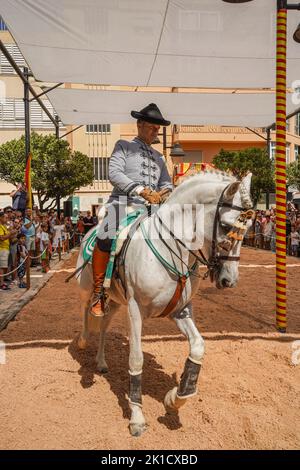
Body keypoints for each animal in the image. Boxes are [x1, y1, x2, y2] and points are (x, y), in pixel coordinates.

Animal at [75, 172, 253, 436]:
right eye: (226, 226)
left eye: (249, 228)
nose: (228, 280)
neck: (171, 248)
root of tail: (92, 230)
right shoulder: (135, 310)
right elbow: (136, 359)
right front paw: (137, 416)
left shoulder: (180, 311)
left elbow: (198, 347)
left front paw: (175, 398)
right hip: (87, 287)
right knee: (87, 310)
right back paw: (83, 341)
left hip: (116, 301)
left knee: (105, 324)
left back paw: (101, 361)